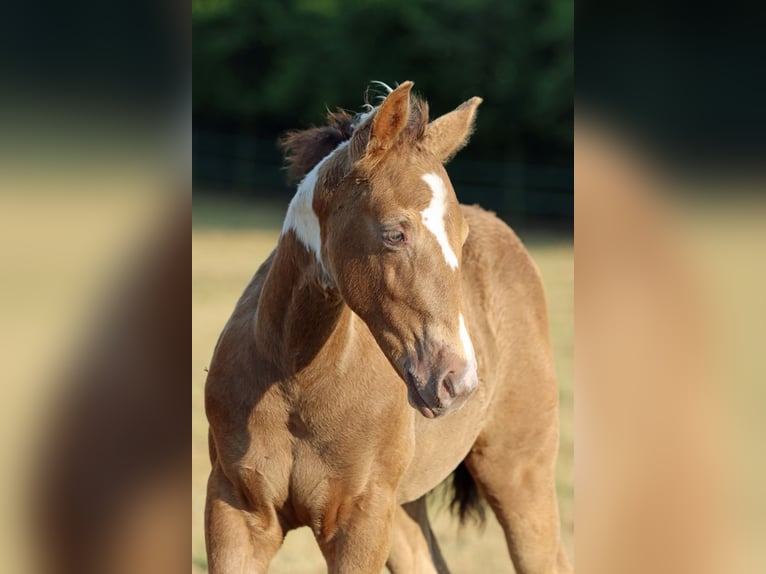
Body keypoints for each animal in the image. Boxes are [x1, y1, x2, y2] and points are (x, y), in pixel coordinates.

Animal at [204, 81, 572, 574]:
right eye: (395, 233)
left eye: (461, 240)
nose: (457, 383)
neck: (297, 380)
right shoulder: (235, 513)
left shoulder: (360, 521)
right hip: (405, 508)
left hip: (519, 472)